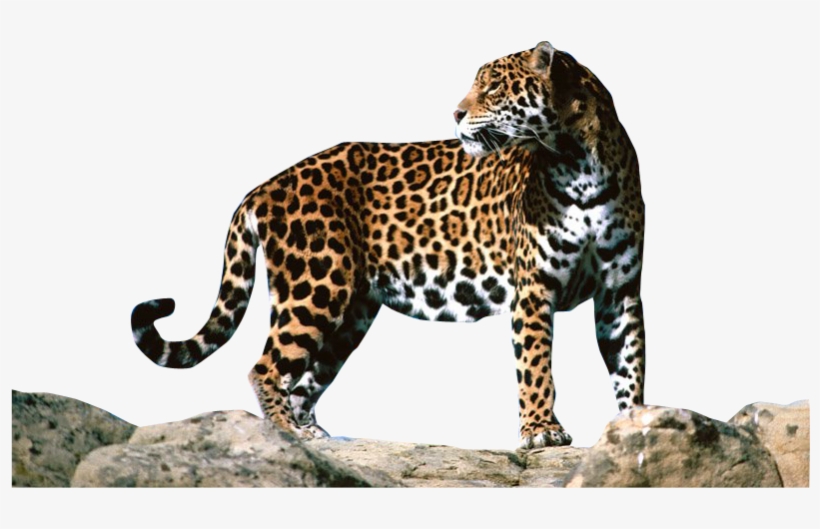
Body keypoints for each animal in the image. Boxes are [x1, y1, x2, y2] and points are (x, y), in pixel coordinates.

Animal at [131, 41, 646, 449]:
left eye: (494, 87)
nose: (456, 113)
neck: (578, 163)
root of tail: (264, 186)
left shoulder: (619, 292)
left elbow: (630, 363)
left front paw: (633, 428)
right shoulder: (534, 288)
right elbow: (536, 364)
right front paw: (542, 430)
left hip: (351, 313)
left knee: (305, 378)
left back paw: (313, 433)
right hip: (315, 285)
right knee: (266, 366)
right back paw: (286, 434)